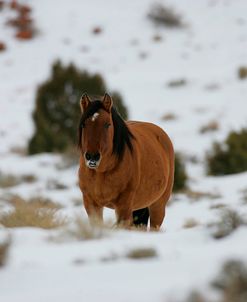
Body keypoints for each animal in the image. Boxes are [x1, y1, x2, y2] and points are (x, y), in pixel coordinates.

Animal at [78, 93, 175, 230]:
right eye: (83, 124)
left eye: (107, 124)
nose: (92, 157)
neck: (101, 172)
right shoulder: (91, 204)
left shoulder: (123, 206)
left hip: (157, 206)